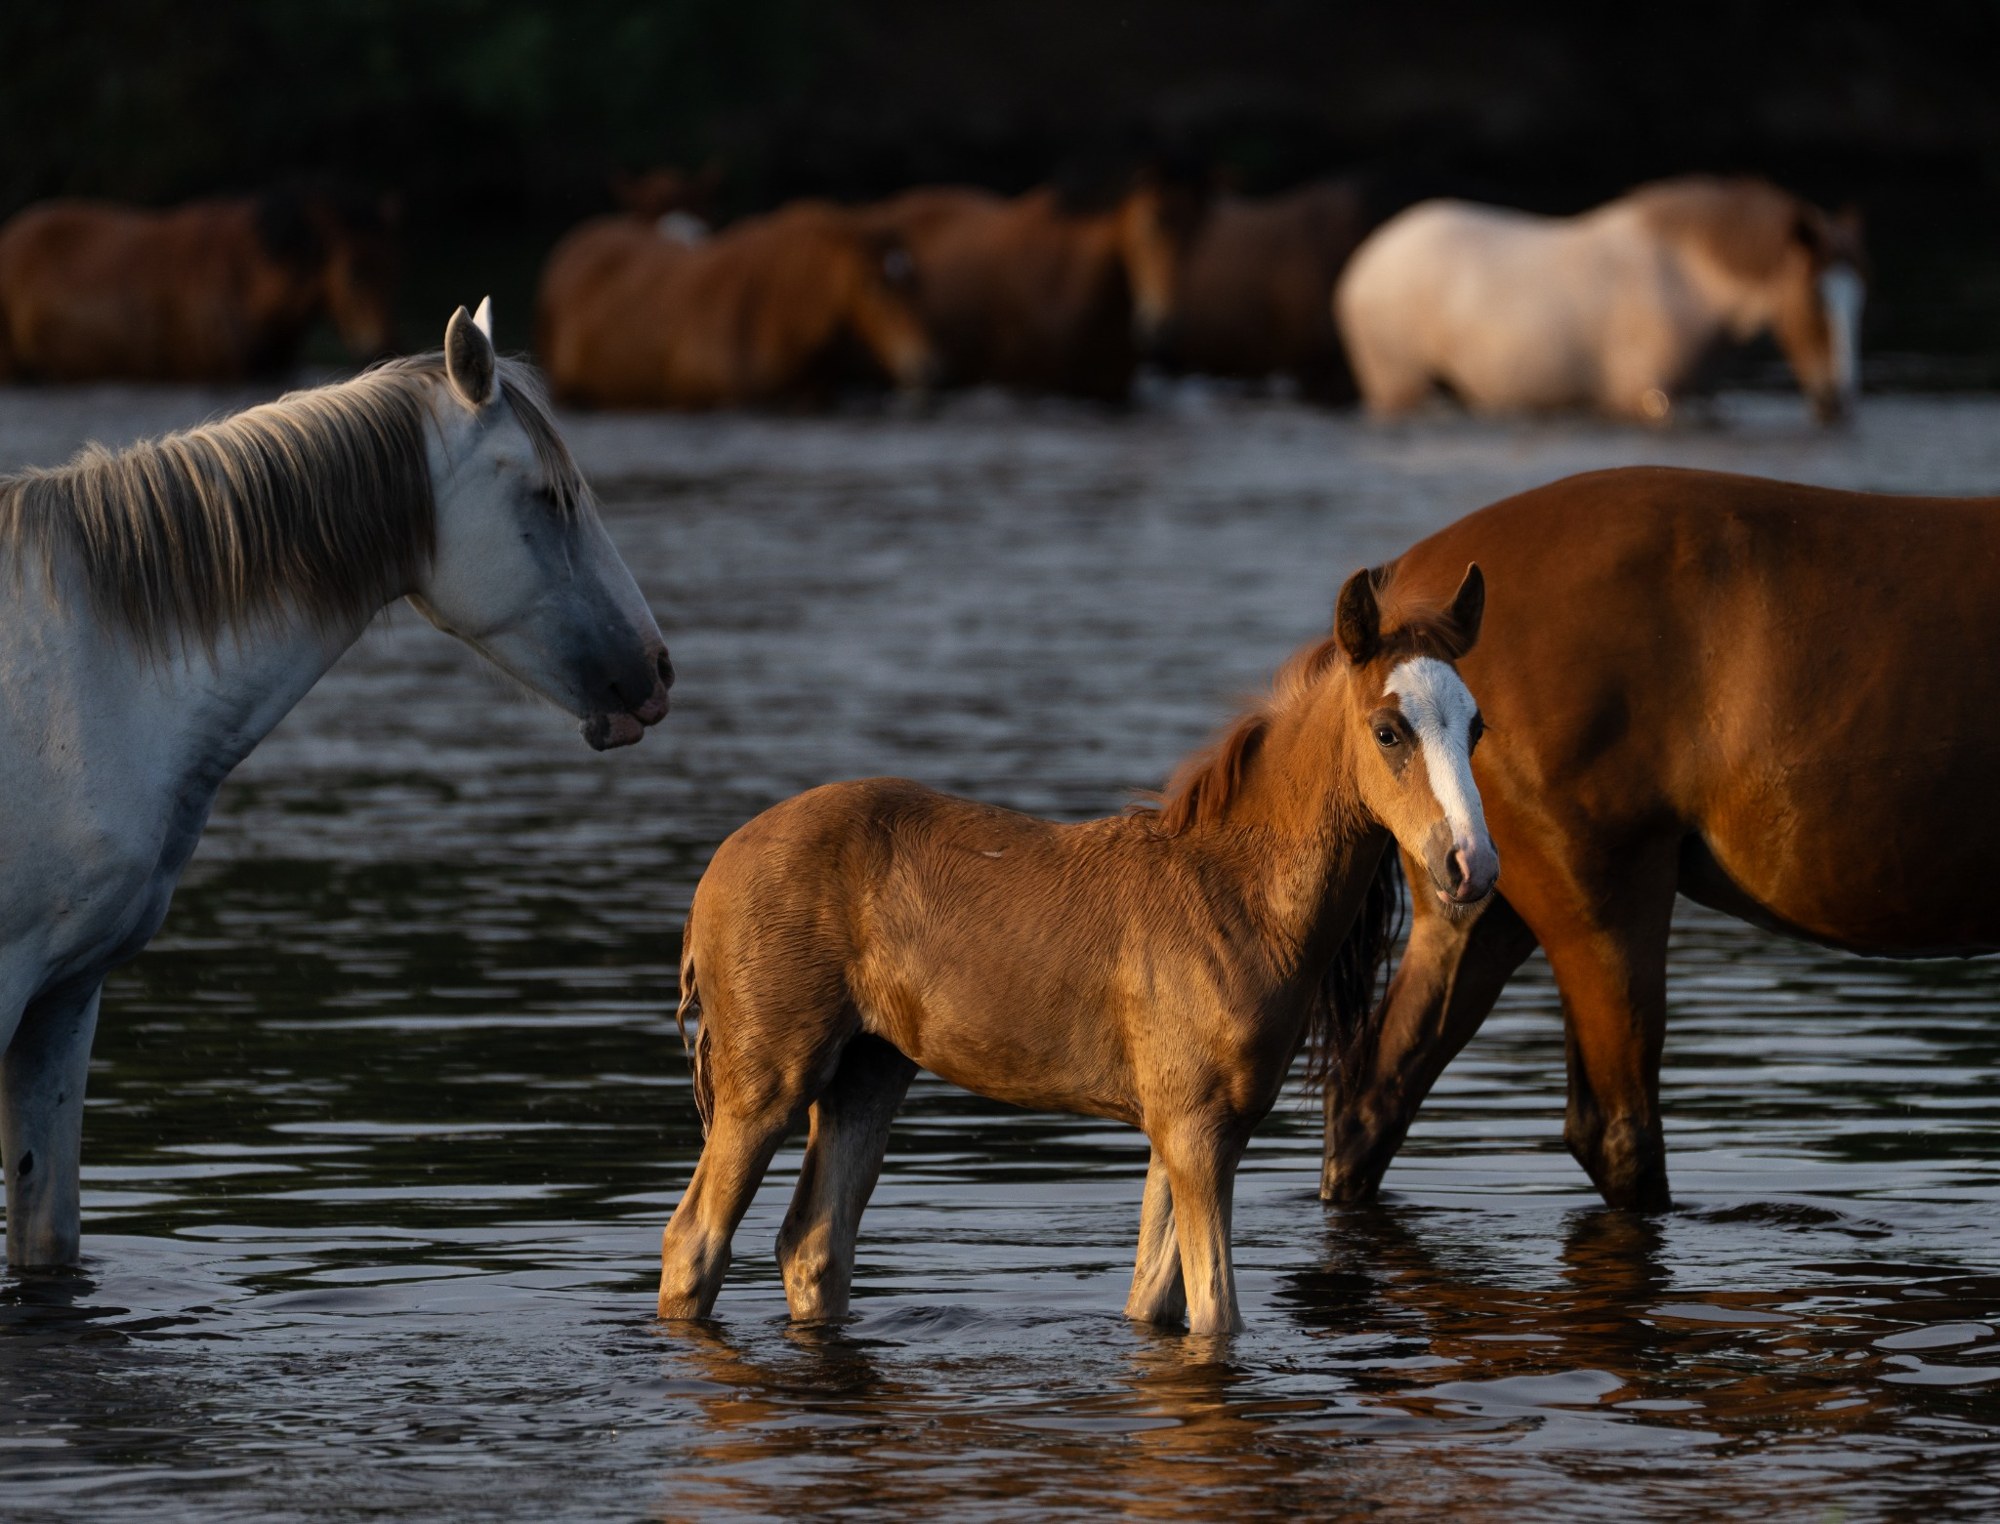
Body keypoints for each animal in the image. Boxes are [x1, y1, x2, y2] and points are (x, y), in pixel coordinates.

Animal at [659, 565, 1496, 1335]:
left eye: (1477, 727)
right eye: (1389, 730)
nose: (1471, 865)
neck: (1233, 892)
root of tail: (716, 870)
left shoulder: (1186, 1126)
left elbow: (1153, 1302)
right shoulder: (1197, 1131)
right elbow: (1216, 1313)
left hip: (869, 1070)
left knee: (813, 1243)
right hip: (767, 1082)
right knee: (695, 1241)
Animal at [1334, 177, 1865, 424]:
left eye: (1859, 302)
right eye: (1815, 299)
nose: (1838, 401)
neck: (1685, 281)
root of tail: (1364, 267)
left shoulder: (1699, 396)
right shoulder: (1650, 399)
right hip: (1397, 384)